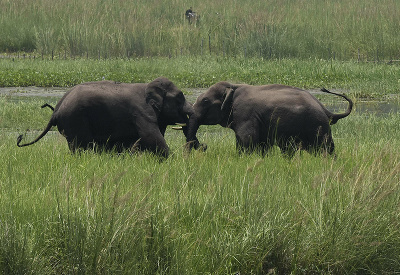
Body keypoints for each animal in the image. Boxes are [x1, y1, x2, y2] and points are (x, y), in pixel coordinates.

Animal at [16, 77, 202, 158]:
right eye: (180, 97)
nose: (204, 147)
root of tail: (56, 110)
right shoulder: (141, 112)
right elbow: (151, 136)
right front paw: (172, 160)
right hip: (75, 119)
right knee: (80, 145)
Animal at [191, 81, 354, 157]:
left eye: (205, 101)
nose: (204, 146)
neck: (234, 86)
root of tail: (326, 110)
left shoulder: (245, 114)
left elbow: (247, 140)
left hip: (317, 126)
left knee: (324, 149)